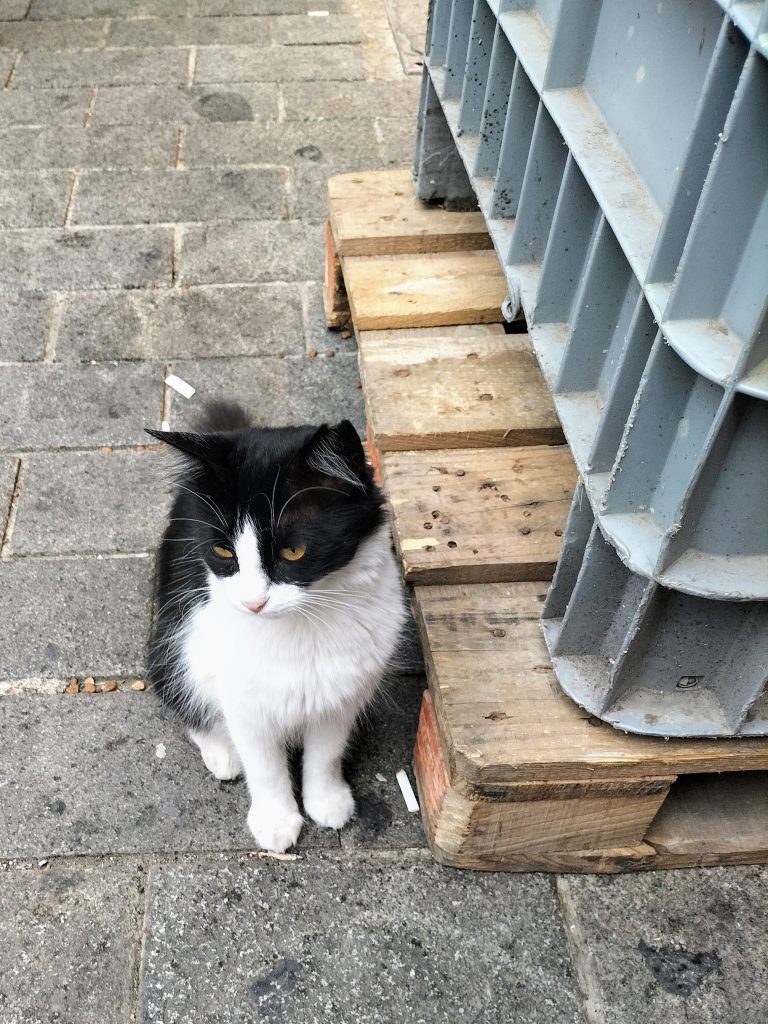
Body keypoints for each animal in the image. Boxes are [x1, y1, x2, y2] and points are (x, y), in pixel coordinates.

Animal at [145, 403, 409, 851]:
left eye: (294, 551)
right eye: (223, 551)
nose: (253, 603)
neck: (303, 626)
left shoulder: (343, 693)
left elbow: (325, 753)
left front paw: (326, 800)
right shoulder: (244, 699)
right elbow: (264, 765)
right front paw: (275, 820)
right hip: (177, 642)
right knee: (183, 695)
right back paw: (222, 752)